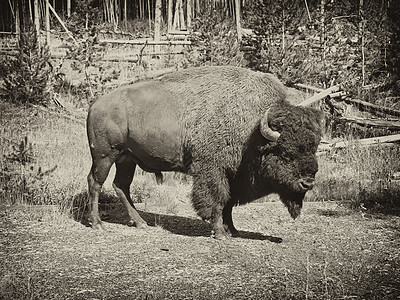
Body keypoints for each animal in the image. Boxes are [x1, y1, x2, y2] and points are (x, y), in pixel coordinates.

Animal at [86, 65, 324, 239]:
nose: (308, 183)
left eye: (313, 148)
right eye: (285, 152)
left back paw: (141, 223)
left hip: (127, 159)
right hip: (105, 156)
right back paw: (98, 224)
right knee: (96, 183)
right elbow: (218, 200)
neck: (254, 128)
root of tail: (96, 103)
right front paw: (220, 233)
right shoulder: (213, 170)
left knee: (121, 186)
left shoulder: (233, 175)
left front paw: (232, 230)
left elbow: (229, 203)